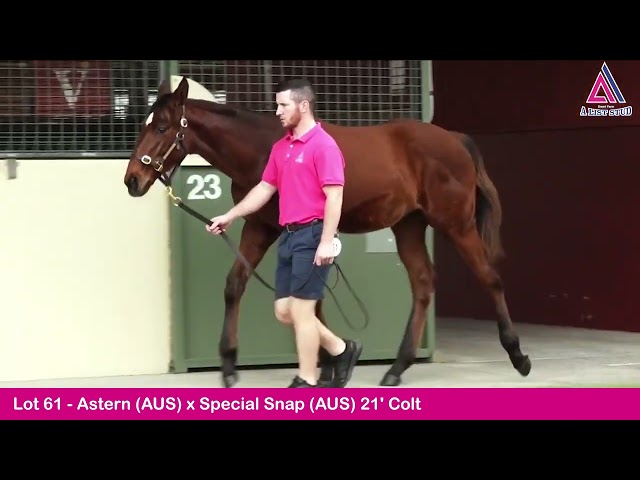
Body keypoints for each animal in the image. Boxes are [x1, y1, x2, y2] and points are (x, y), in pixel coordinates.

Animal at [124, 78, 528, 386]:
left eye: (161, 127)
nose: (132, 181)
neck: (262, 147)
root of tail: (456, 140)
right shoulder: (260, 225)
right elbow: (238, 284)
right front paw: (230, 366)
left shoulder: (277, 230)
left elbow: (306, 299)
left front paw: (326, 363)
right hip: (409, 225)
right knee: (423, 283)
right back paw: (397, 368)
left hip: (456, 224)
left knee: (489, 278)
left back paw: (518, 355)